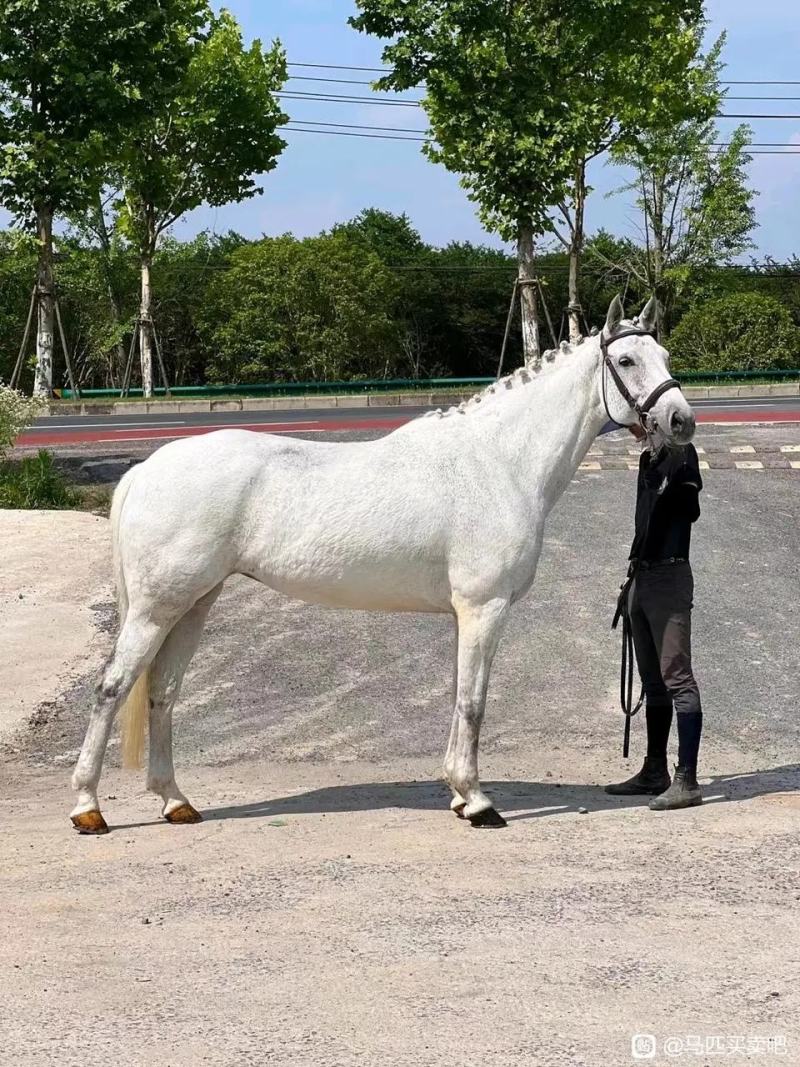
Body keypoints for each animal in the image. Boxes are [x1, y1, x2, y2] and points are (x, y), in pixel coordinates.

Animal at [70, 295, 695, 834]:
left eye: (665, 357)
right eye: (625, 360)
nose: (681, 420)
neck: (497, 461)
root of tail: (147, 468)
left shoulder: (465, 615)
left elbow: (459, 697)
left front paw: (458, 795)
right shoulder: (484, 609)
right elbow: (473, 701)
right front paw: (478, 801)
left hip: (194, 604)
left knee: (162, 692)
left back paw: (175, 802)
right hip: (156, 608)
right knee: (112, 688)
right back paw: (88, 808)